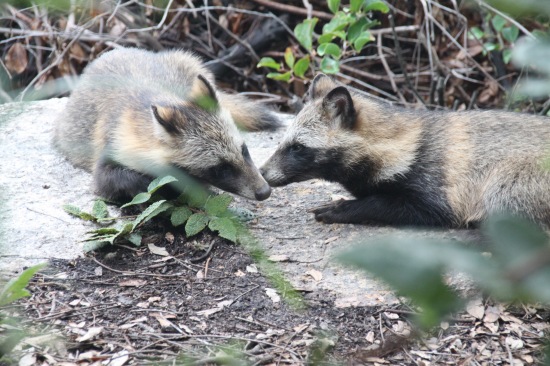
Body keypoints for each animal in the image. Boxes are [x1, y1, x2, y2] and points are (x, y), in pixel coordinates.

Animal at [260, 74, 550, 227]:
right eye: (283, 141)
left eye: (298, 147)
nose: (262, 173)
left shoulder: (436, 185)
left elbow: (397, 206)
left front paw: (344, 208)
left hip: (516, 179)